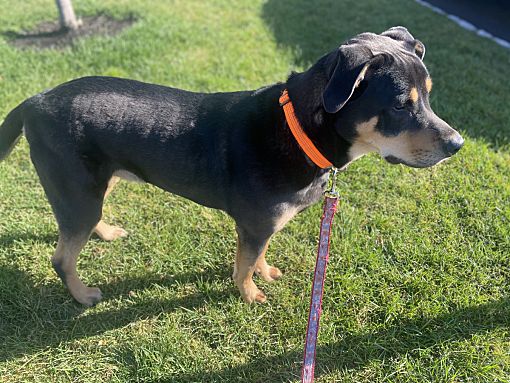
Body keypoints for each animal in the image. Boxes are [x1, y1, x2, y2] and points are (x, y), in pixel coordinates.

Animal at [0, 27, 462, 308]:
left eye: (429, 95)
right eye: (400, 106)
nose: (457, 145)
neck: (299, 130)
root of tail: (34, 101)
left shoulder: (263, 225)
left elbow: (258, 255)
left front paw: (265, 273)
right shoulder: (254, 224)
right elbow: (242, 266)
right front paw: (251, 295)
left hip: (97, 181)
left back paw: (106, 232)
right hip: (77, 190)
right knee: (61, 258)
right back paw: (82, 295)